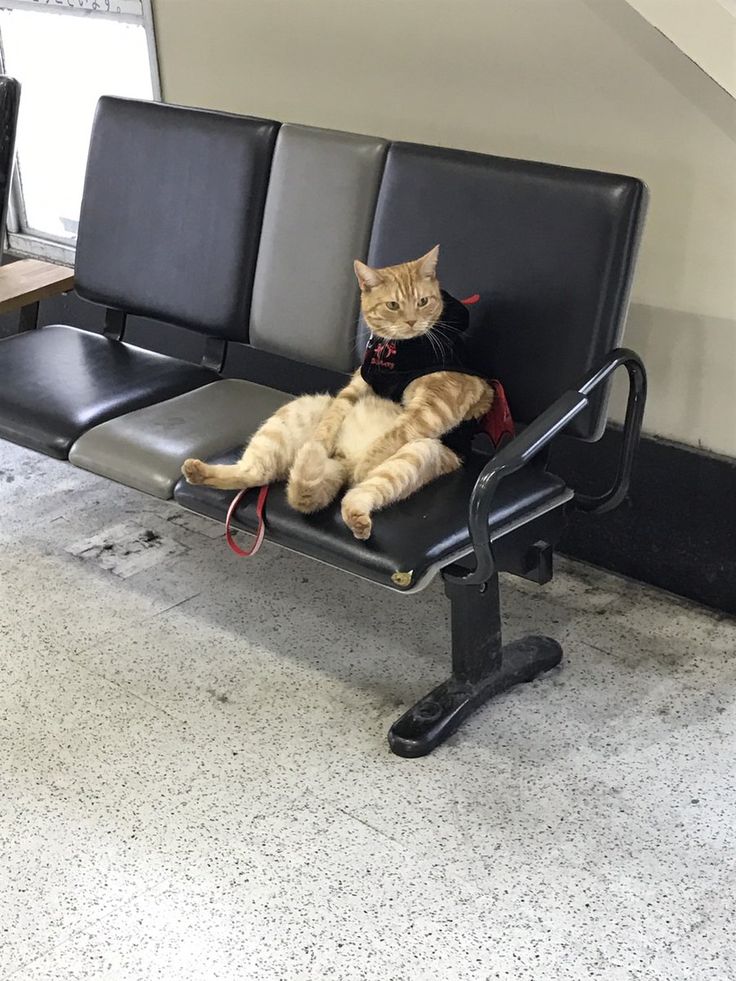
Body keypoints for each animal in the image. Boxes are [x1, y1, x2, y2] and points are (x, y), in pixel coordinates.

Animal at [183, 244, 494, 536]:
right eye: (393, 305)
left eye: (423, 302)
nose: (411, 321)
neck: (397, 351)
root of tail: (344, 461)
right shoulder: (356, 385)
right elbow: (332, 419)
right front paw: (321, 442)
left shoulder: (439, 402)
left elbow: (396, 432)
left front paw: (368, 460)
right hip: (293, 416)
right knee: (257, 472)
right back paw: (204, 471)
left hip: (417, 454)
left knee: (357, 491)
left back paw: (357, 503)